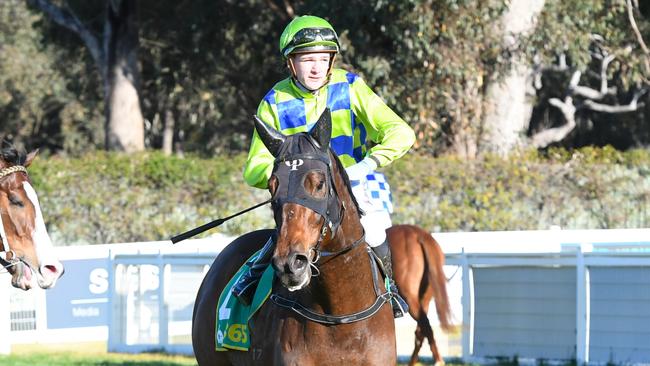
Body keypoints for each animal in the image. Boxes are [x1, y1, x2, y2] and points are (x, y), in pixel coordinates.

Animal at [384, 224, 450, 366]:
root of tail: (419, 234)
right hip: (424, 299)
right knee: (421, 330)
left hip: (410, 298)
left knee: (425, 326)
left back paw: (438, 360)